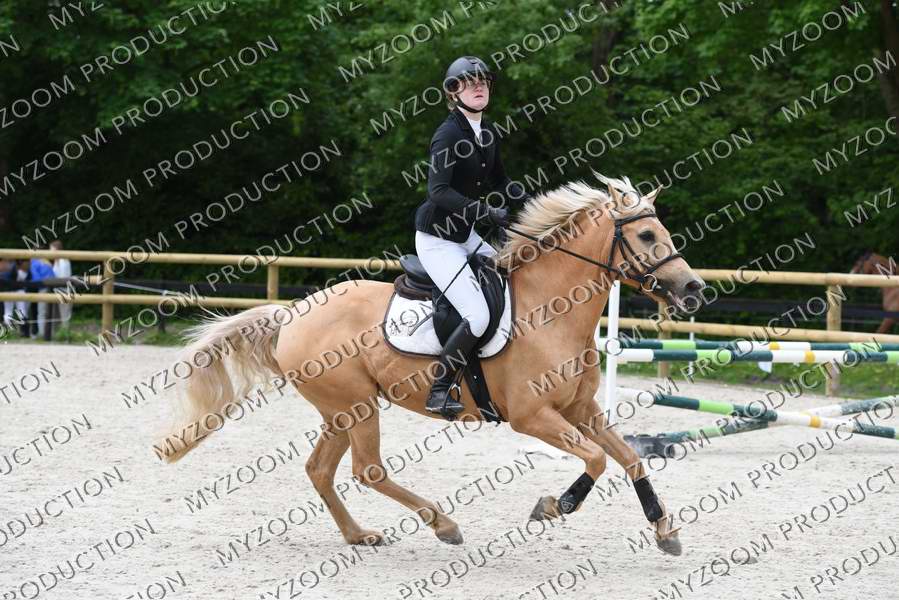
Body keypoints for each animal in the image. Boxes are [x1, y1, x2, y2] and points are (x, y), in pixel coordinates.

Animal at [154, 172, 705, 555]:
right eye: (648, 237)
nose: (693, 288)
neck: (551, 311)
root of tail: (293, 312)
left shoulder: (580, 409)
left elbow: (629, 457)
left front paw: (664, 530)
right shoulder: (533, 418)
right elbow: (595, 459)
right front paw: (555, 506)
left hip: (341, 409)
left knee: (320, 470)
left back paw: (360, 535)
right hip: (355, 405)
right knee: (368, 470)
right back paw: (444, 524)